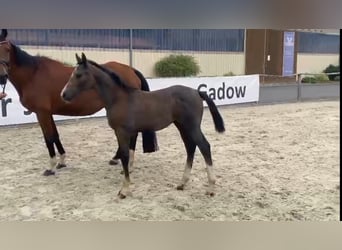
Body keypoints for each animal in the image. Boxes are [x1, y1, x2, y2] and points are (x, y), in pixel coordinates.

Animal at [0, 28, 158, 176]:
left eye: (6, 49)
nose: (2, 76)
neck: (33, 75)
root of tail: (131, 70)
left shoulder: (42, 113)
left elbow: (48, 138)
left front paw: (51, 167)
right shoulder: (48, 113)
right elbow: (55, 135)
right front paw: (62, 161)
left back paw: (128, 163)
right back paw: (116, 158)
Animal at [61, 53, 226, 199]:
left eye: (78, 75)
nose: (63, 94)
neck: (119, 98)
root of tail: (197, 92)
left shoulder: (122, 132)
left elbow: (125, 156)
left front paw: (124, 190)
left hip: (192, 126)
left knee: (204, 146)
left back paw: (211, 188)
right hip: (182, 126)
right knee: (190, 147)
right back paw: (182, 183)